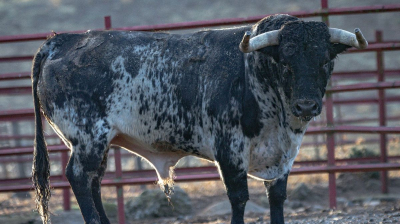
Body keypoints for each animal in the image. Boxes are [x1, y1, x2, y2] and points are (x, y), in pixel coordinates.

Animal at [31, 14, 368, 224]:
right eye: (286, 61)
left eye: (326, 61)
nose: (307, 105)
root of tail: (61, 41)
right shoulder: (229, 152)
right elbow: (239, 199)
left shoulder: (283, 158)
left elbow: (277, 199)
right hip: (88, 137)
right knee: (79, 177)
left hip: (100, 142)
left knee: (94, 182)